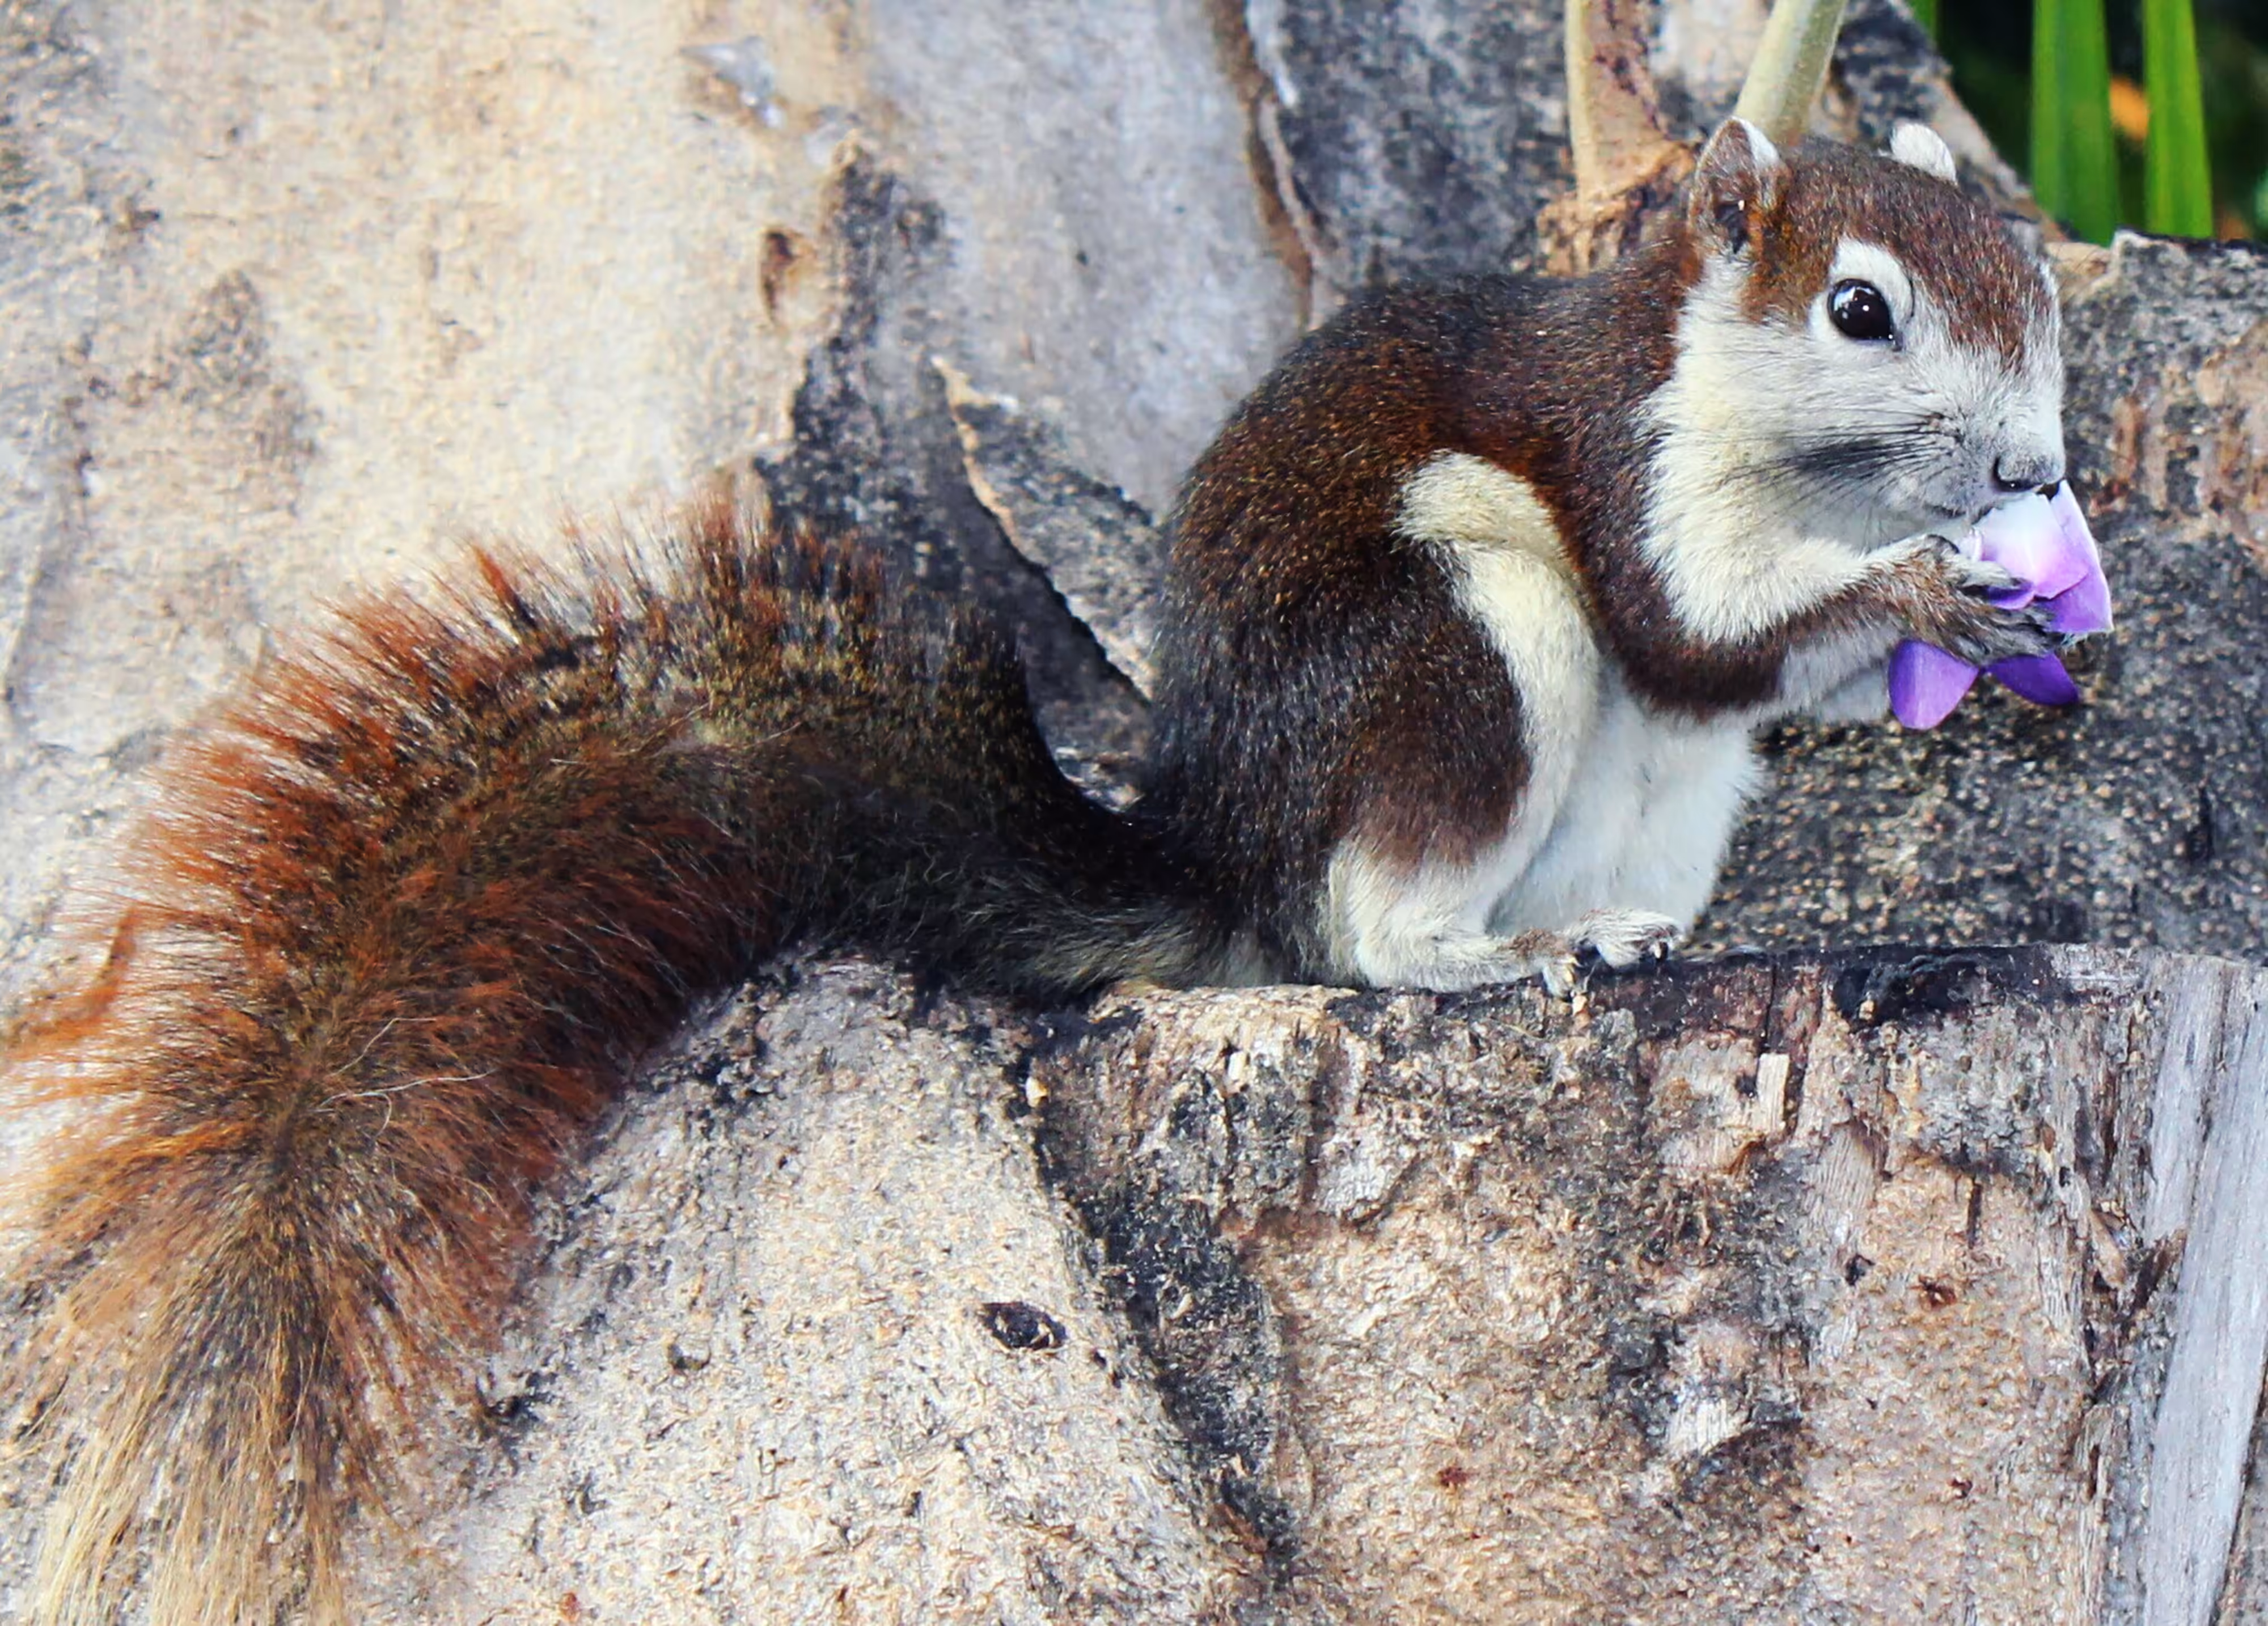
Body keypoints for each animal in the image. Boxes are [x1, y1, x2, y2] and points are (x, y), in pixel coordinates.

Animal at [5, 117, 2068, 1625]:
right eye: (1860, 310)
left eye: (2039, 282)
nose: (2033, 466)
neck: (1771, 445)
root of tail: (1225, 848)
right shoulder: (1614, 461)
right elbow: (1688, 633)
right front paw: (1916, 588)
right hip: (1460, 642)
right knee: (1364, 926)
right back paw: (1477, 955)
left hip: (1664, 795)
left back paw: (1610, 932)